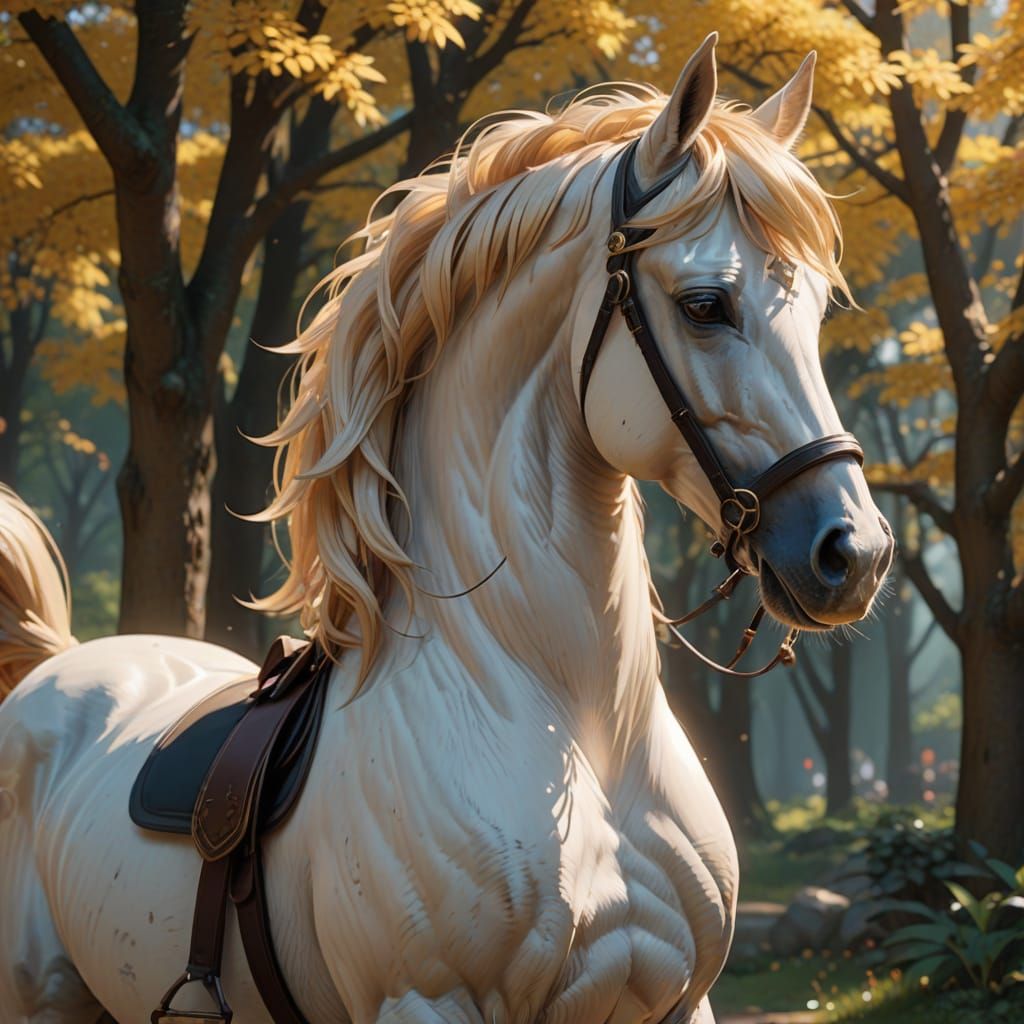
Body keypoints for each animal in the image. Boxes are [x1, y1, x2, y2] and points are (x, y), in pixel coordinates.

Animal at [0, 35, 893, 1024]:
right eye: (705, 304)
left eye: (815, 310)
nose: (854, 554)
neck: (576, 727)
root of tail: (52, 666)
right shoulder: (428, 1002)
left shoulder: (680, 1002)